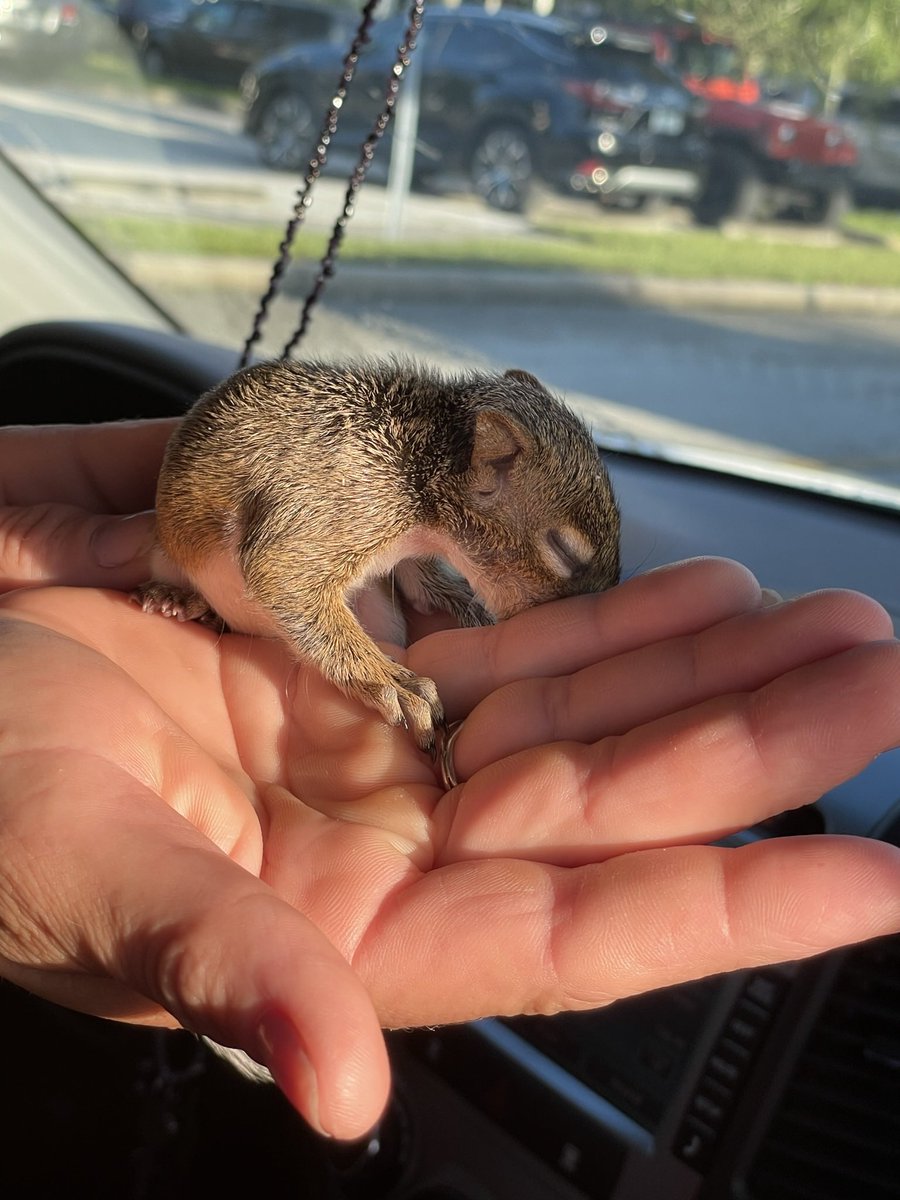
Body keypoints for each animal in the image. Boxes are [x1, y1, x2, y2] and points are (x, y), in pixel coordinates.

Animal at [134, 358, 621, 752]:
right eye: (563, 552)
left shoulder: (408, 553)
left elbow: (420, 585)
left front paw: (468, 606)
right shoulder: (349, 502)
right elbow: (280, 572)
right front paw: (393, 682)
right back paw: (179, 600)